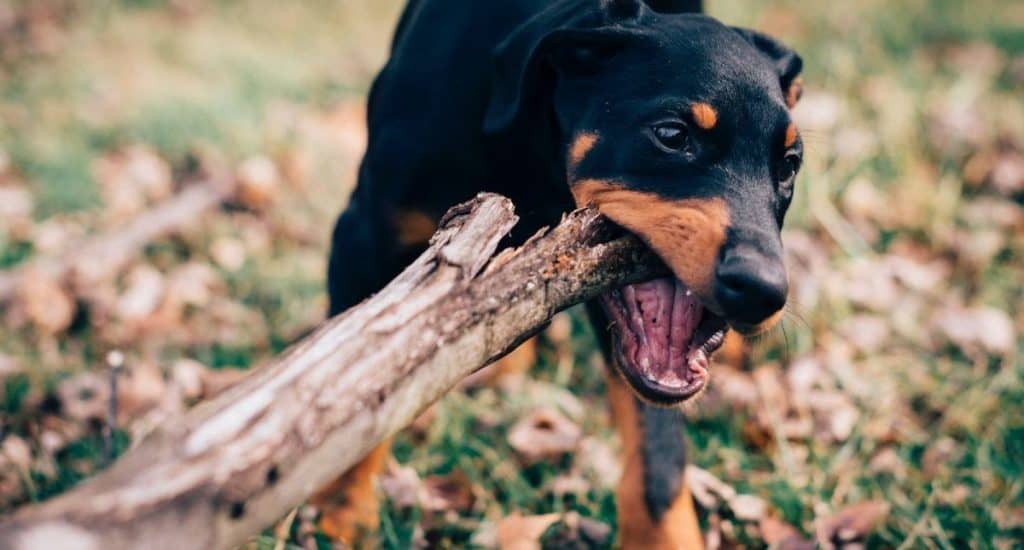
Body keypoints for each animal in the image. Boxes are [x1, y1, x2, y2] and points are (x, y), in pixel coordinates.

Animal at [315, 0, 802, 544]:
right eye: (672, 135)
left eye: (790, 163)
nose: (763, 291)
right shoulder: (362, 238)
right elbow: (356, 396)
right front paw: (342, 517)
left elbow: (657, 454)